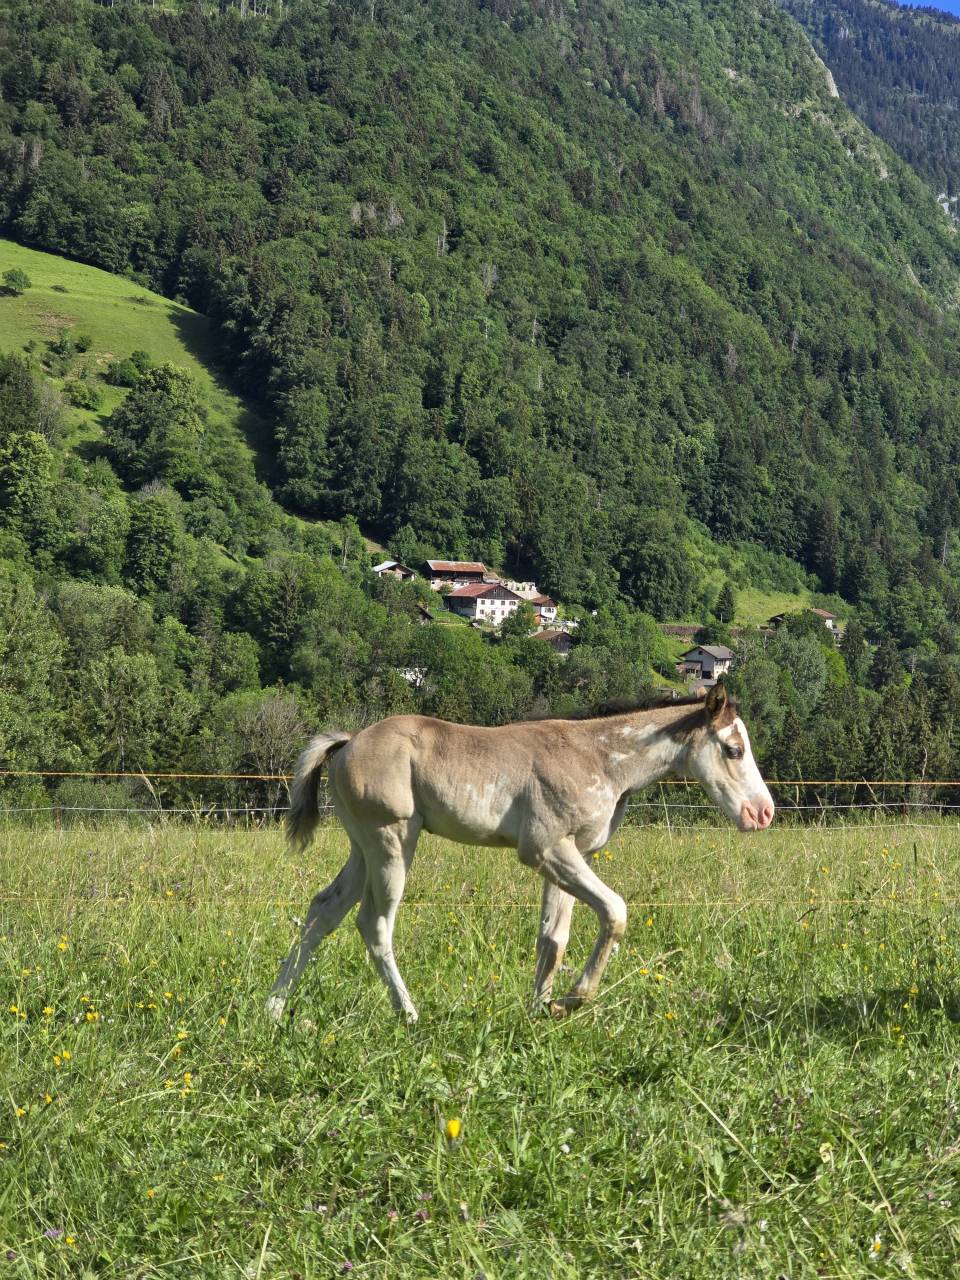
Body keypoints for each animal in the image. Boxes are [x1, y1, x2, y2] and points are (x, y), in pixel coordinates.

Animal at [265, 682, 774, 1023]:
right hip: (391, 841)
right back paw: (409, 1014)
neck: (598, 758)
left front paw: (540, 1010)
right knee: (374, 923)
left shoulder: (571, 855)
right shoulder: (545, 849)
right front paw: (570, 999)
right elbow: (615, 912)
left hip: (362, 849)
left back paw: (273, 1008)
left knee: (322, 911)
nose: (762, 813)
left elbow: (553, 938)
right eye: (733, 749)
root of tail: (348, 742)